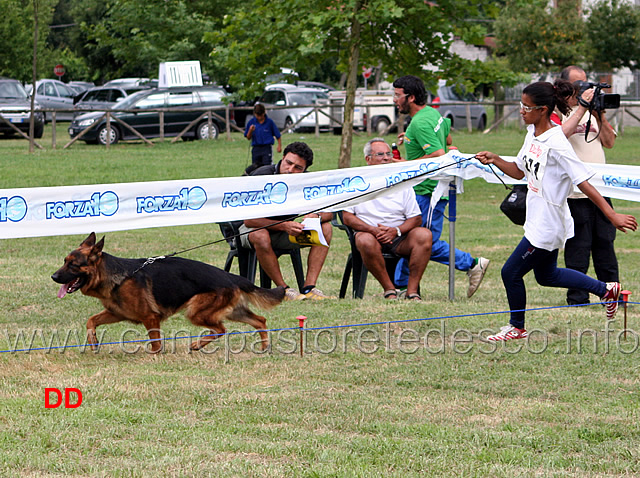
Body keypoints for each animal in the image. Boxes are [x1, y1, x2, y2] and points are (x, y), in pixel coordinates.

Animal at [51, 233, 286, 352]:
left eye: (73, 265)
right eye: (64, 261)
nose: (53, 276)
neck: (118, 276)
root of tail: (232, 276)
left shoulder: (150, 317)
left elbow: (155, 342)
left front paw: (156, 355)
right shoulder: (117, 313)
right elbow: (91, 321)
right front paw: (93, 342)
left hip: (196, 312)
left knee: (221, 329)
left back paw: (196, 344)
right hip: (233, 311)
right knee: (260, 320)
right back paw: (264, 347)